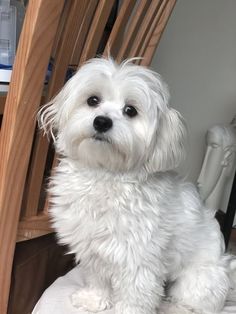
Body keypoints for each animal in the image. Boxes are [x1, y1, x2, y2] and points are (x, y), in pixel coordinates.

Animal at [38, 57, 232, 312]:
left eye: (130, 110)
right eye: (93, 100)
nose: (102, 122)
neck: (106, 173)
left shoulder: (139, 262)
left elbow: (135, 296)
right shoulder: (94, 249)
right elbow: (97, 278)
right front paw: (93, 299)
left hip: (198, 281)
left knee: (193, 303)